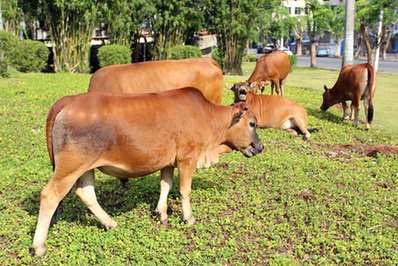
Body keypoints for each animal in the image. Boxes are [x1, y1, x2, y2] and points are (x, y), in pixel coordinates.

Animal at [31, 87, 264, 258]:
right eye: (252, 123)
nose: (260, 147)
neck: (207, 116)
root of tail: (67, 101)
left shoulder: (168, 162)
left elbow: (166, 185)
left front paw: (161, 213)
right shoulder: (187, 158)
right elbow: (184, 190)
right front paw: (189, 218)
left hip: (86, 168)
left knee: (86, 194)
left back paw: (110, 223)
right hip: (70, 167)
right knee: (49, 196)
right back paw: (39, 246)